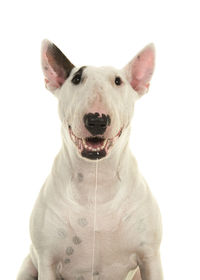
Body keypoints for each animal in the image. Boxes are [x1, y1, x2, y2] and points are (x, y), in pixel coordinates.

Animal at [16, 39, 162, 280]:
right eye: (76, 78)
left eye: (118, 81)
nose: (96, 120)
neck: (97, 182)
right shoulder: (47, 260)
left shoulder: (150, 257)